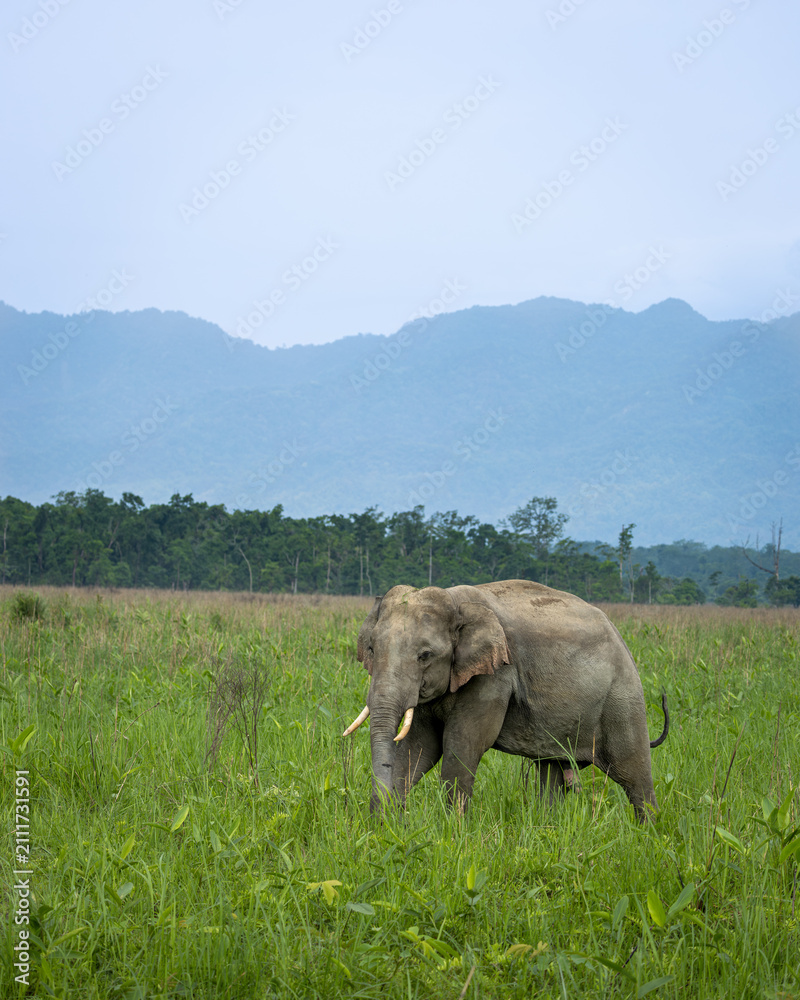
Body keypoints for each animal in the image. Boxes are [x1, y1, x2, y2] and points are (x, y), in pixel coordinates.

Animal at [343, 580, 668, 823]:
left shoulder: (496, 674)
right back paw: (546, 827)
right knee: (550, 771)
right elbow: (420, 745)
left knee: (633, 775)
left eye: (425, 655)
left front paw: (452, 831)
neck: (455, 601)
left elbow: (463, 742)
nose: (385, 819)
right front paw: (385, 829)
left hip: (622, 701)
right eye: (371, 649)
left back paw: (648, 834)